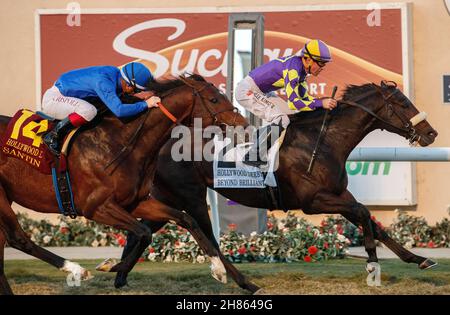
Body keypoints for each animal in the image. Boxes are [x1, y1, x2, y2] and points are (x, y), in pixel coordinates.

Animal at [0, 74, 248, 296]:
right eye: (214, 99)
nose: (244, 125)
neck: (121, 143)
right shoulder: (95, 207)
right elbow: (144, 232)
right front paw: (111, 266)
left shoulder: (134, 202)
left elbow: (186, 220)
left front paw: (218, 269)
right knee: (18, 239)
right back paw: (77, 270)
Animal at [119, 81, 440, 294]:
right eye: (403, 103)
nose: (431, 133)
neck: (323, 140)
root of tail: (162, 143)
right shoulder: (314, 201)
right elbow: (363, 214)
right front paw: (373, 266)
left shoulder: (339, 194)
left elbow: (373, 221)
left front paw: (419, 259)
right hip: (192, 197)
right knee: (208, 238)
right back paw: (244, 282)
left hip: (170, 197)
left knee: (144, 230)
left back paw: (120, 274)